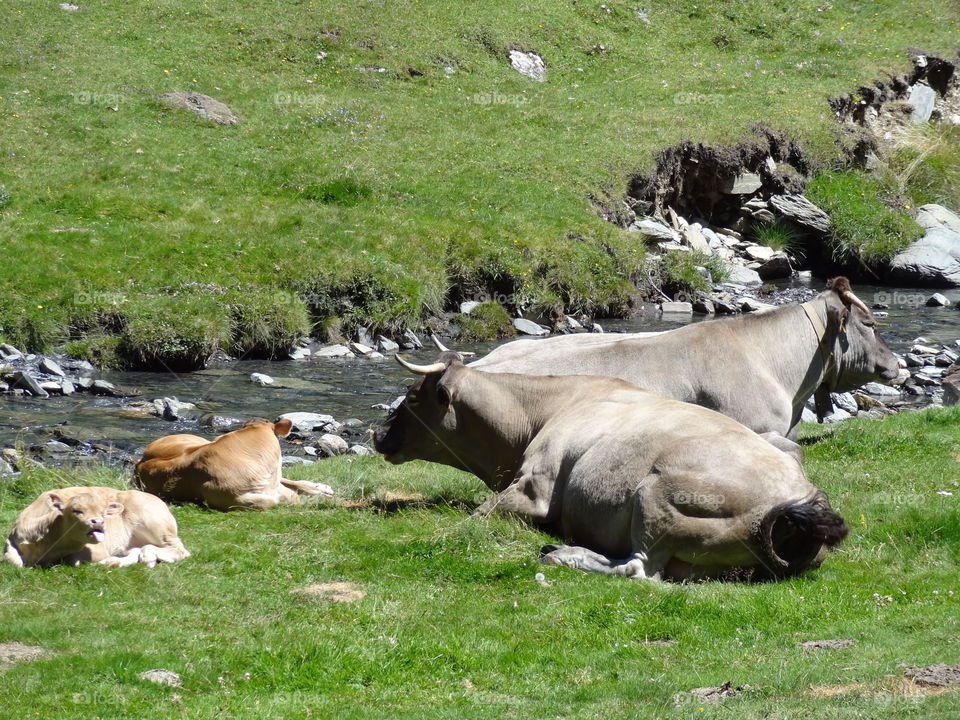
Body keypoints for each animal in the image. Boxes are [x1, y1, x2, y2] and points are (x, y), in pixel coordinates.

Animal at [4, 486, 190, 568]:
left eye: (102, 512)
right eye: (76, 510)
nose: (99, 522)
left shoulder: (97, 549)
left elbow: (78, 560)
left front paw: (113, 561)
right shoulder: (11, 541)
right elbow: (13, 561)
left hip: (155, 523)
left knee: (180, 549)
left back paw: (148, 557)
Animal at [133, 418, 334, 511]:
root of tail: (139, 463)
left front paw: (318, 492)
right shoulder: (234, 500)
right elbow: (279, 500)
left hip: (196, 440)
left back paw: (321, 488)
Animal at [373, 353, 848, 581]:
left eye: (412, 396)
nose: (377, 434)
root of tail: (797, 500)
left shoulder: (535, 487)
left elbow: (475, 518)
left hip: (655, 496)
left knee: (639, 570)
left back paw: (564, 554)